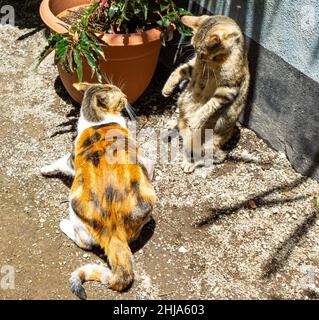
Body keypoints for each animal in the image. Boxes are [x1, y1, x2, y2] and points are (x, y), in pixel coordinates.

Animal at [41, 83, 156, 300]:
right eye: (120, 96)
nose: (126, 95)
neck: (97, 121)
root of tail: (114, 229)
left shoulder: (71, 159)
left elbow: (59, 162)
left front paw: (44, 169)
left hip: (74, 203)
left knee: (84, 242)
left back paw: (64, 224)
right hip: (147, 198)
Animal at [162, 15, 250, 172]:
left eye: (202, 53)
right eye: (194, 49)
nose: (199, 58)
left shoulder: (228, 89)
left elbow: (208, 106)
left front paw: (196, 119)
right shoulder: (193, 67)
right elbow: (179, 70)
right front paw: (167, 88)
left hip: (202, 140)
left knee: (210, 157)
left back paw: (189, 162)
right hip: (182, 105)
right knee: (180, 122)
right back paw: (173, 123)